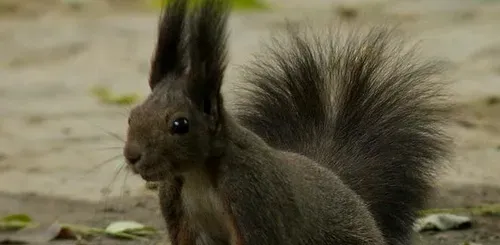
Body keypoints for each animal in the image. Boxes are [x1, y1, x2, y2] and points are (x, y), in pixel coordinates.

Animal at [123, 0, 452, 245]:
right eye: (132, 115)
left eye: (180, 125)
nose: (132, 156)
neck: (198, 175)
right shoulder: (178, 212)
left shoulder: (254, 201)